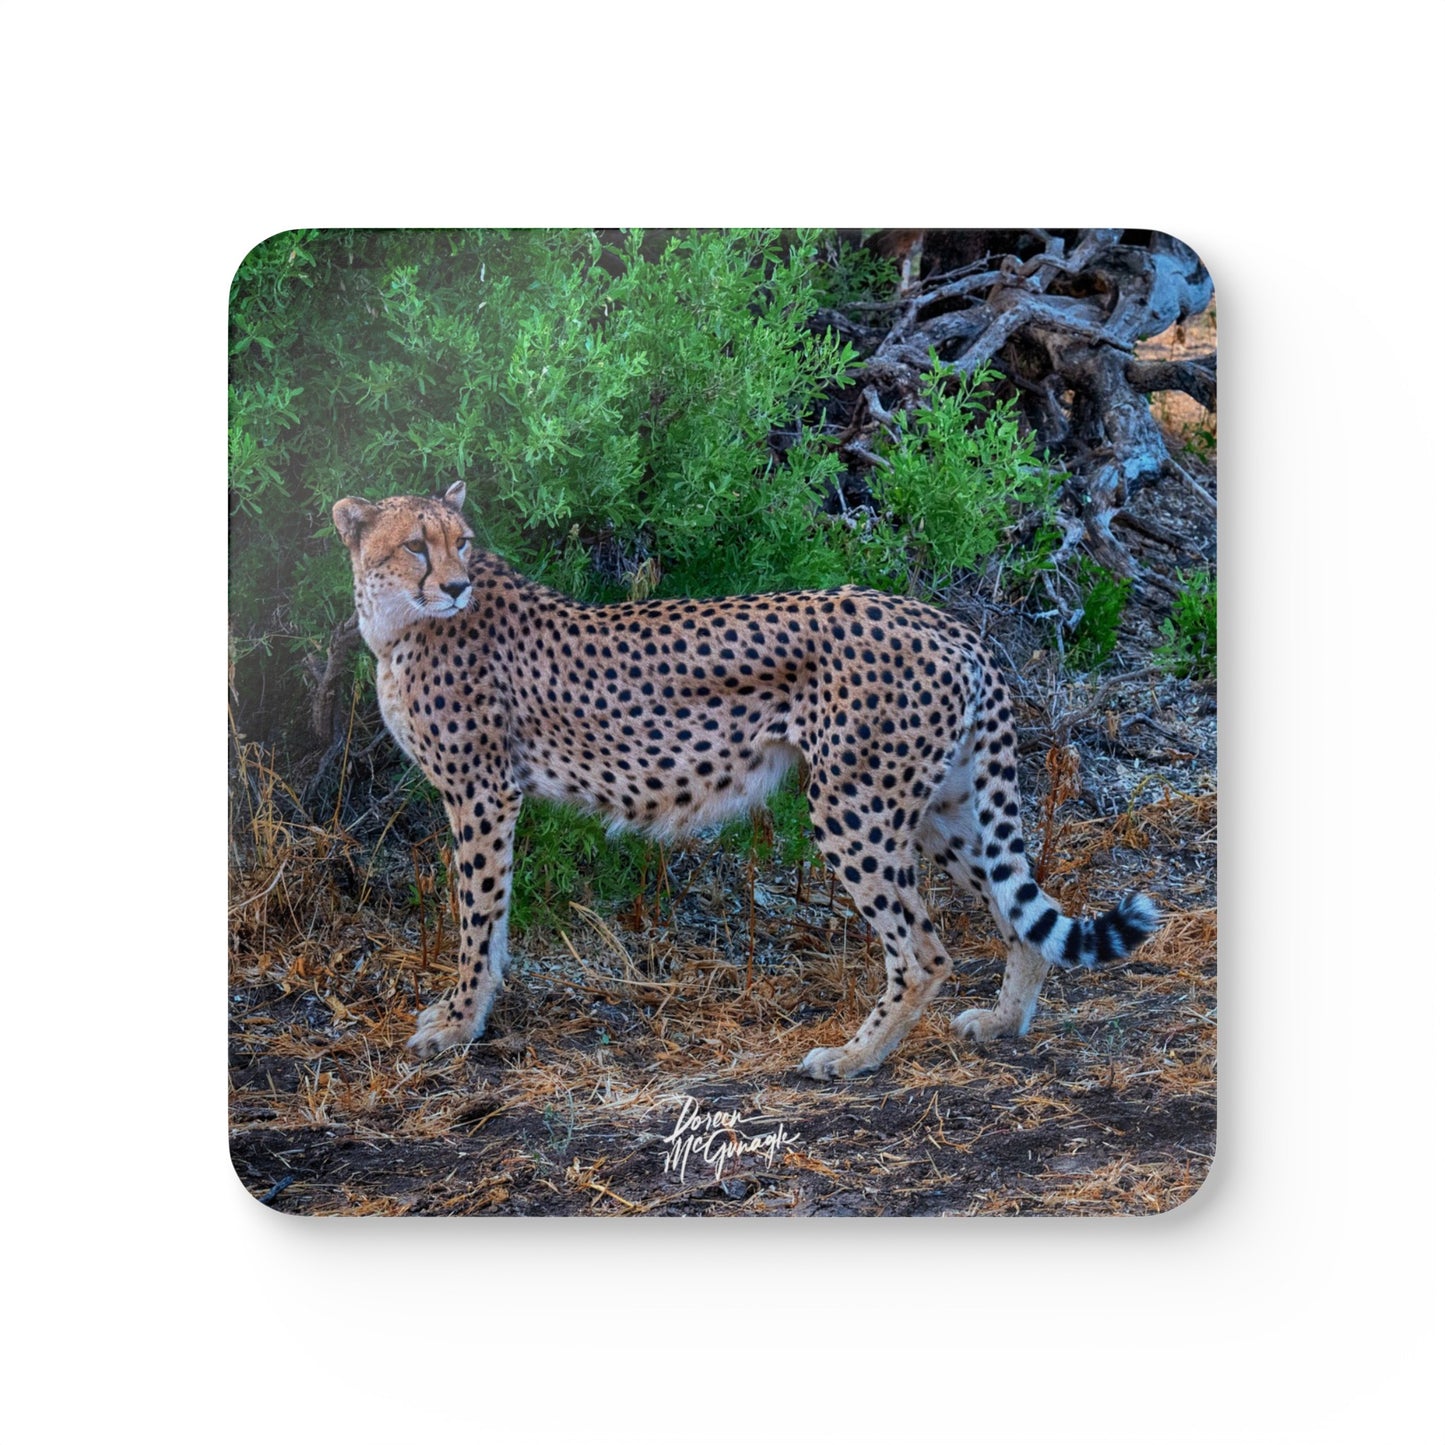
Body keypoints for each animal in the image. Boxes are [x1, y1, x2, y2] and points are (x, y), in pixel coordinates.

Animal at [332, 481, 1159, 1080]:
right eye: (416, 545)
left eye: (461, 542)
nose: (456, 585)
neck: (399, 622)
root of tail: (942, 619)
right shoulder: (486, 794)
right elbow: (492, 917)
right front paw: (466, 1013)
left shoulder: (480, 791)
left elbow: (477, 914)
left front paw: (457, 1022)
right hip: (941, 805)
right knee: (1018, 912)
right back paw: (1001, 1021)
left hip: (852, 805)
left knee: (924, 951)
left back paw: (853, 1057)